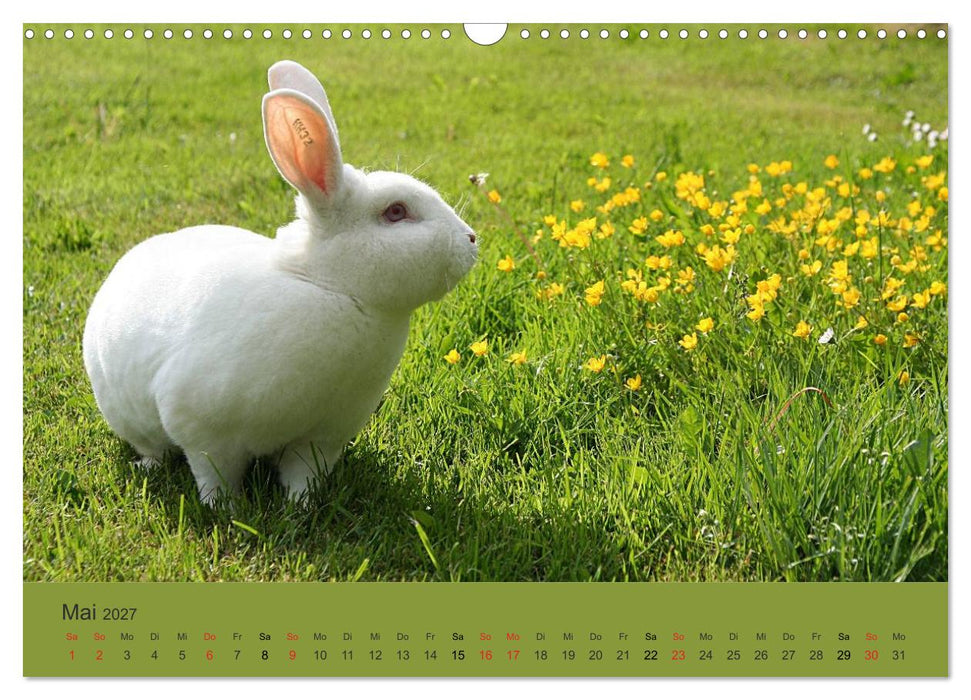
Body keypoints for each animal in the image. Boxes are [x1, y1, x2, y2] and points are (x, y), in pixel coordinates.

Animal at [82, 60, 478, 505]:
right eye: (396, 212)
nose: (471, 239)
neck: (333, 289)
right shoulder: (205, 432)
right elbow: (213, 474)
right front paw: (223, 508)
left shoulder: (321, 437)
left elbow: (302, 476)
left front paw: (301, 506)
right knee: (153, 447)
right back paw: (147, 465)